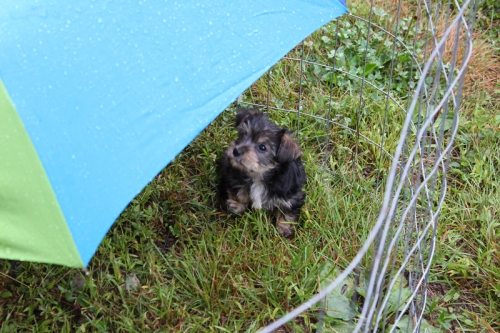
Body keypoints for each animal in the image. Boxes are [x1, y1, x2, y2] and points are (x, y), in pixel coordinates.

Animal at [221, 107, 306, 236]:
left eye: (262, 147)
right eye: (243, 134)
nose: (236, 151)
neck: (258, 175)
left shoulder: (291, 195)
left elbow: (287, 210)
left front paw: (284, 229)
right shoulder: (234, 177)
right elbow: (239, 193)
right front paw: (236, 206)